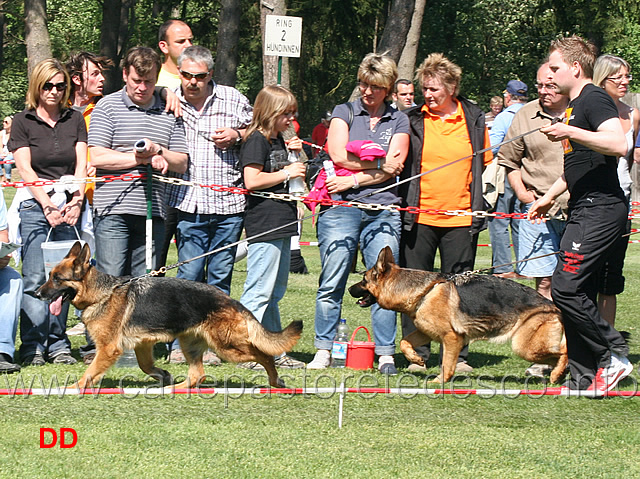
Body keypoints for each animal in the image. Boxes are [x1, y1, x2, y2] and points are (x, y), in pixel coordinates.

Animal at [36, 244, 304, 390]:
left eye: (57, 279)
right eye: (50, 276)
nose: (36, 293)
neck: (102, 292)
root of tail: (232, 301)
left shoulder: (109, 349)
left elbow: (90, 372)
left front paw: (73, 388)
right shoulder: (142, 345)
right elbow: (145, 365)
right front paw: (162, 375)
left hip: (228, 347)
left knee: (264, 355)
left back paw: (275, 380)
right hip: (190, 344)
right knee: (198, 374)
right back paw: (176, 387)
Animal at [348, 246, 568, 384]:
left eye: (364, 279)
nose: (349, 289)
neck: (422, 291)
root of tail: (551, 305)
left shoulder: (452, 338)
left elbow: (447, 364)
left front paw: (439, 382)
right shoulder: (426, 332)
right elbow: (404, 342)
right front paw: (417, 360)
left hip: (524, 346)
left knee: (564, 352)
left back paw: (558, 373)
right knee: (557, 355)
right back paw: (556, 375)